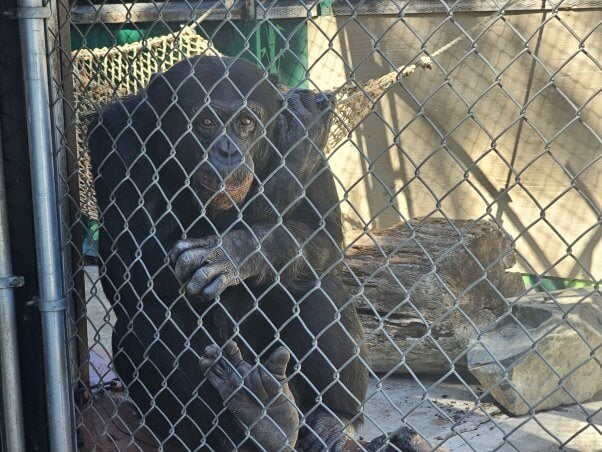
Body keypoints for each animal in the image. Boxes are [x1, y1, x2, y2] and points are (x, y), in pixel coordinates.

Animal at [88, 56, 426, 452]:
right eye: (206, 122)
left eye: (246, 123)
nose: (228, 151)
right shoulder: (115, 142)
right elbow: (142, 266)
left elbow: (323, 233)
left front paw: (238, 250)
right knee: (147, 325)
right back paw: (260, 422)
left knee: (311, 282)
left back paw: (326, 420)